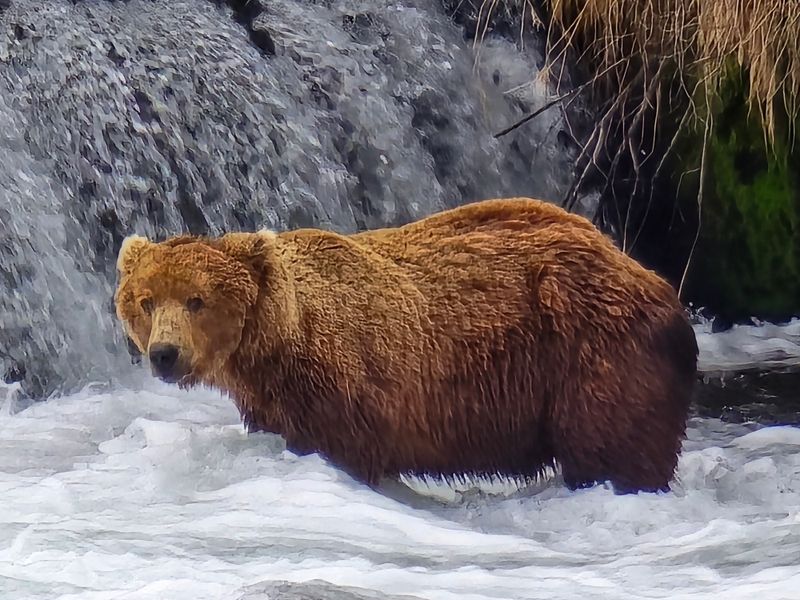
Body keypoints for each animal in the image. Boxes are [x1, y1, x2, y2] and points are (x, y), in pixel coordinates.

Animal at [114, 197, 698, 495]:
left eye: (196, 299)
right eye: (146, 301)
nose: (164, 354)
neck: (277, 343)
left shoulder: (347, 386)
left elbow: (350, 451)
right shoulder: (272, 401)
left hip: (593, 349)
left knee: (613, 446)